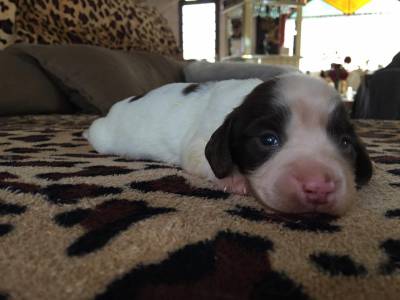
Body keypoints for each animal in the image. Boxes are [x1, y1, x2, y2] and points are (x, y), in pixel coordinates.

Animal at [85, 74, 372, 217]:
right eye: (268, 140)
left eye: (345, 142)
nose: (319, 188)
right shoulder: (199, 140)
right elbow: (202, 157)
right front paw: (235, 178)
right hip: (104, 137)